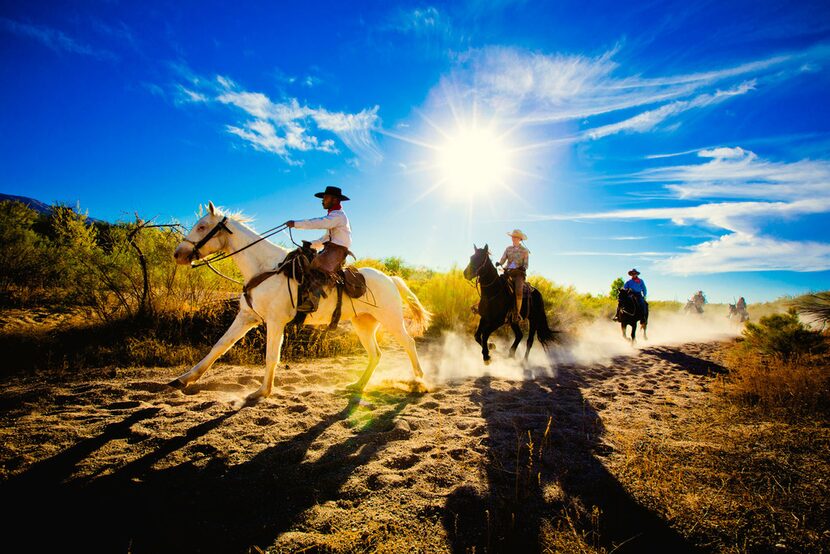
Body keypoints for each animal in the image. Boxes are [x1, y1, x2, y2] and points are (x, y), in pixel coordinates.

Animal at [167, 201, 432, 398]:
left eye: (202, 227)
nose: (178, 254)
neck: (265, 268)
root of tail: (390, 279)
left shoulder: (275, 322)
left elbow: (271, 356)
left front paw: (262, 392)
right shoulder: (247, 317)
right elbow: (220, 345)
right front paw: (184, 379)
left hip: (391, 320)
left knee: (409, 343)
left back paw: (419, 382)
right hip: (363, 324)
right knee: (375, 354)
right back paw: (357, 385)